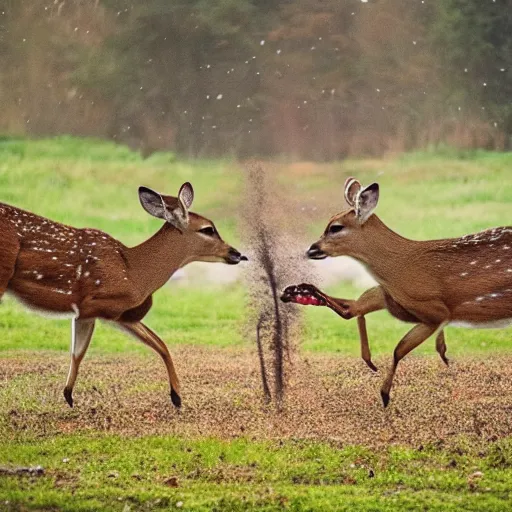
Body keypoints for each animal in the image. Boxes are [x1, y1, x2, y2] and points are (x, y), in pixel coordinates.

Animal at [0, 182, 248, 410]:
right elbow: (81, 351)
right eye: (207, 229)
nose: (238, 254)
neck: (134, 272)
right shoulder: (94, 305)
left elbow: (156, 343)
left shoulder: (113, 314)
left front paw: (176, 397)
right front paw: (177, 398)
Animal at [282, 178, 510, 406]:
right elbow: (355, 310)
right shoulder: (393, 299)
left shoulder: (434, 311)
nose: (311, 250)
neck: (402, 267)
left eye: (335, 227)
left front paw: (384, 394)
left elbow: (398, 349)